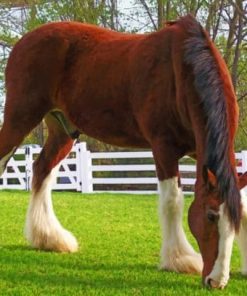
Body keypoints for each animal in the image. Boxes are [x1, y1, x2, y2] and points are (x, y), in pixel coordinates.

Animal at [0, 14, 247, 290]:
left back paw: (49, 238)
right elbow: (172, 201)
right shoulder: (164, 148)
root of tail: (24, 41)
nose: (217, 281)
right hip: (20, 118)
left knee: (42, 170)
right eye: (211, 216)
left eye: (233, 223)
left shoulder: (199, 152)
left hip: (62, 130)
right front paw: (179, 259)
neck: (183, 71)